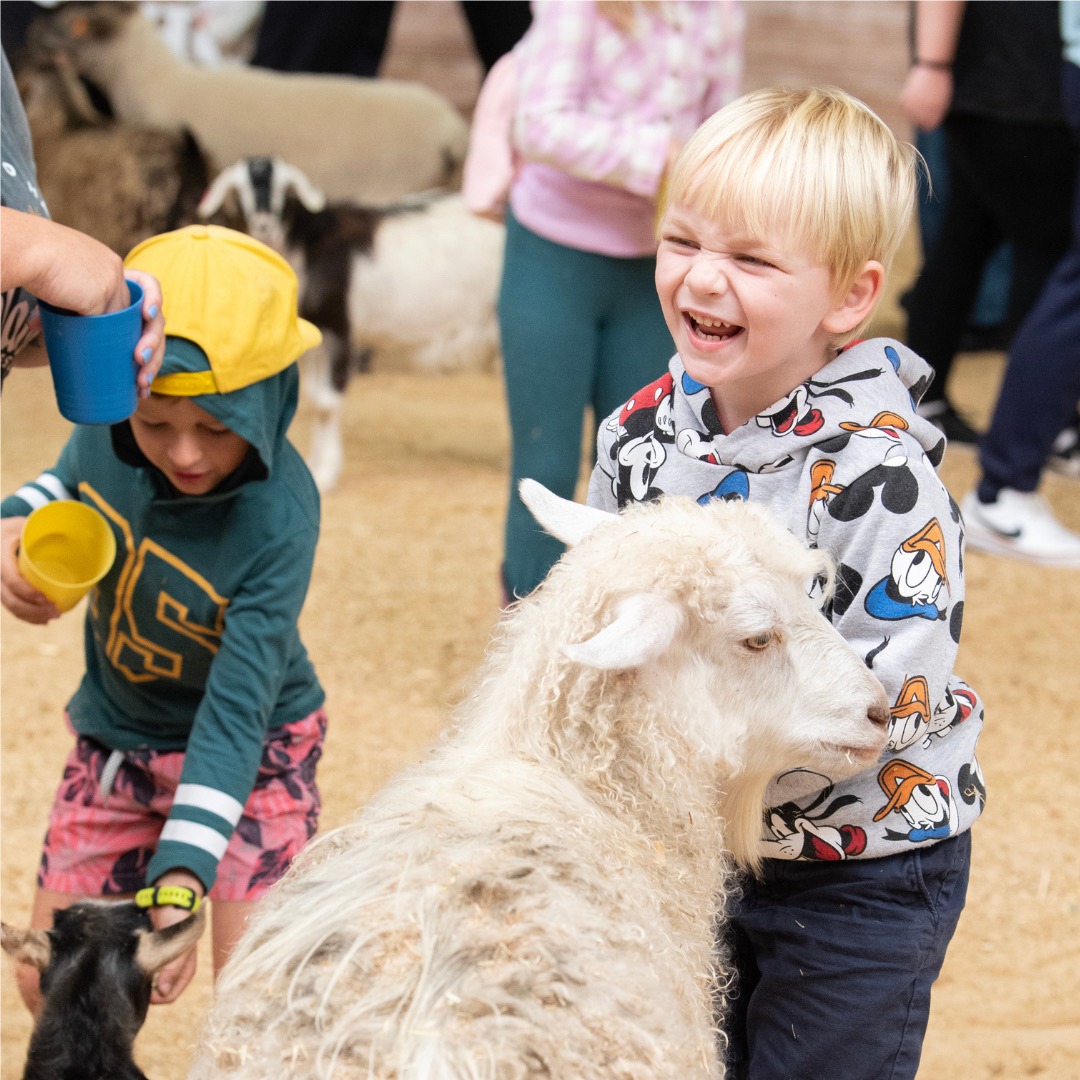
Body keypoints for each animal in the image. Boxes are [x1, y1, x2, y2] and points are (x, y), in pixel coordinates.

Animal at [199, 157, 505, 494]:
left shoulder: (341, 329)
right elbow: (315, 399)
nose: (264, 223)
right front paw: (317, 465)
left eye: (285, 190)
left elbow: (328, 403)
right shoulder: (316, 337)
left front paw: (326, 473)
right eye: (239, 190)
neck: (307, 245)